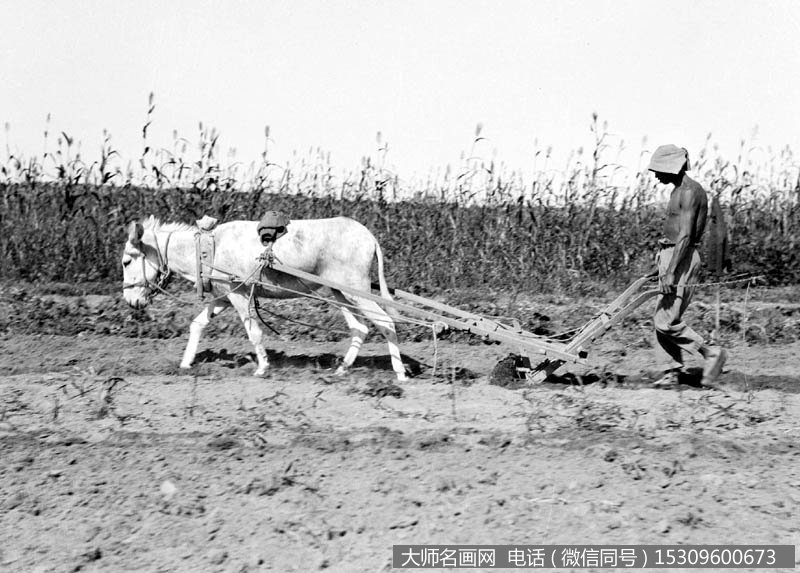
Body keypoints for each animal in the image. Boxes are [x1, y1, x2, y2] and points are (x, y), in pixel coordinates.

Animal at [122, 214, 410, 380]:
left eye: (126, 262)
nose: (131, 303)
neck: (208, 247)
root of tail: (369, 236)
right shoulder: (225, 295)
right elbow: (197, 325)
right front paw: (185, 364)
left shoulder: (238, 294)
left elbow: (254, 332)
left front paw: (262, 368)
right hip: (339, 294)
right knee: (360, 328)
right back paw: (342, 369)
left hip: (354, 290)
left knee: (386, 323)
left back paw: (400, 373)